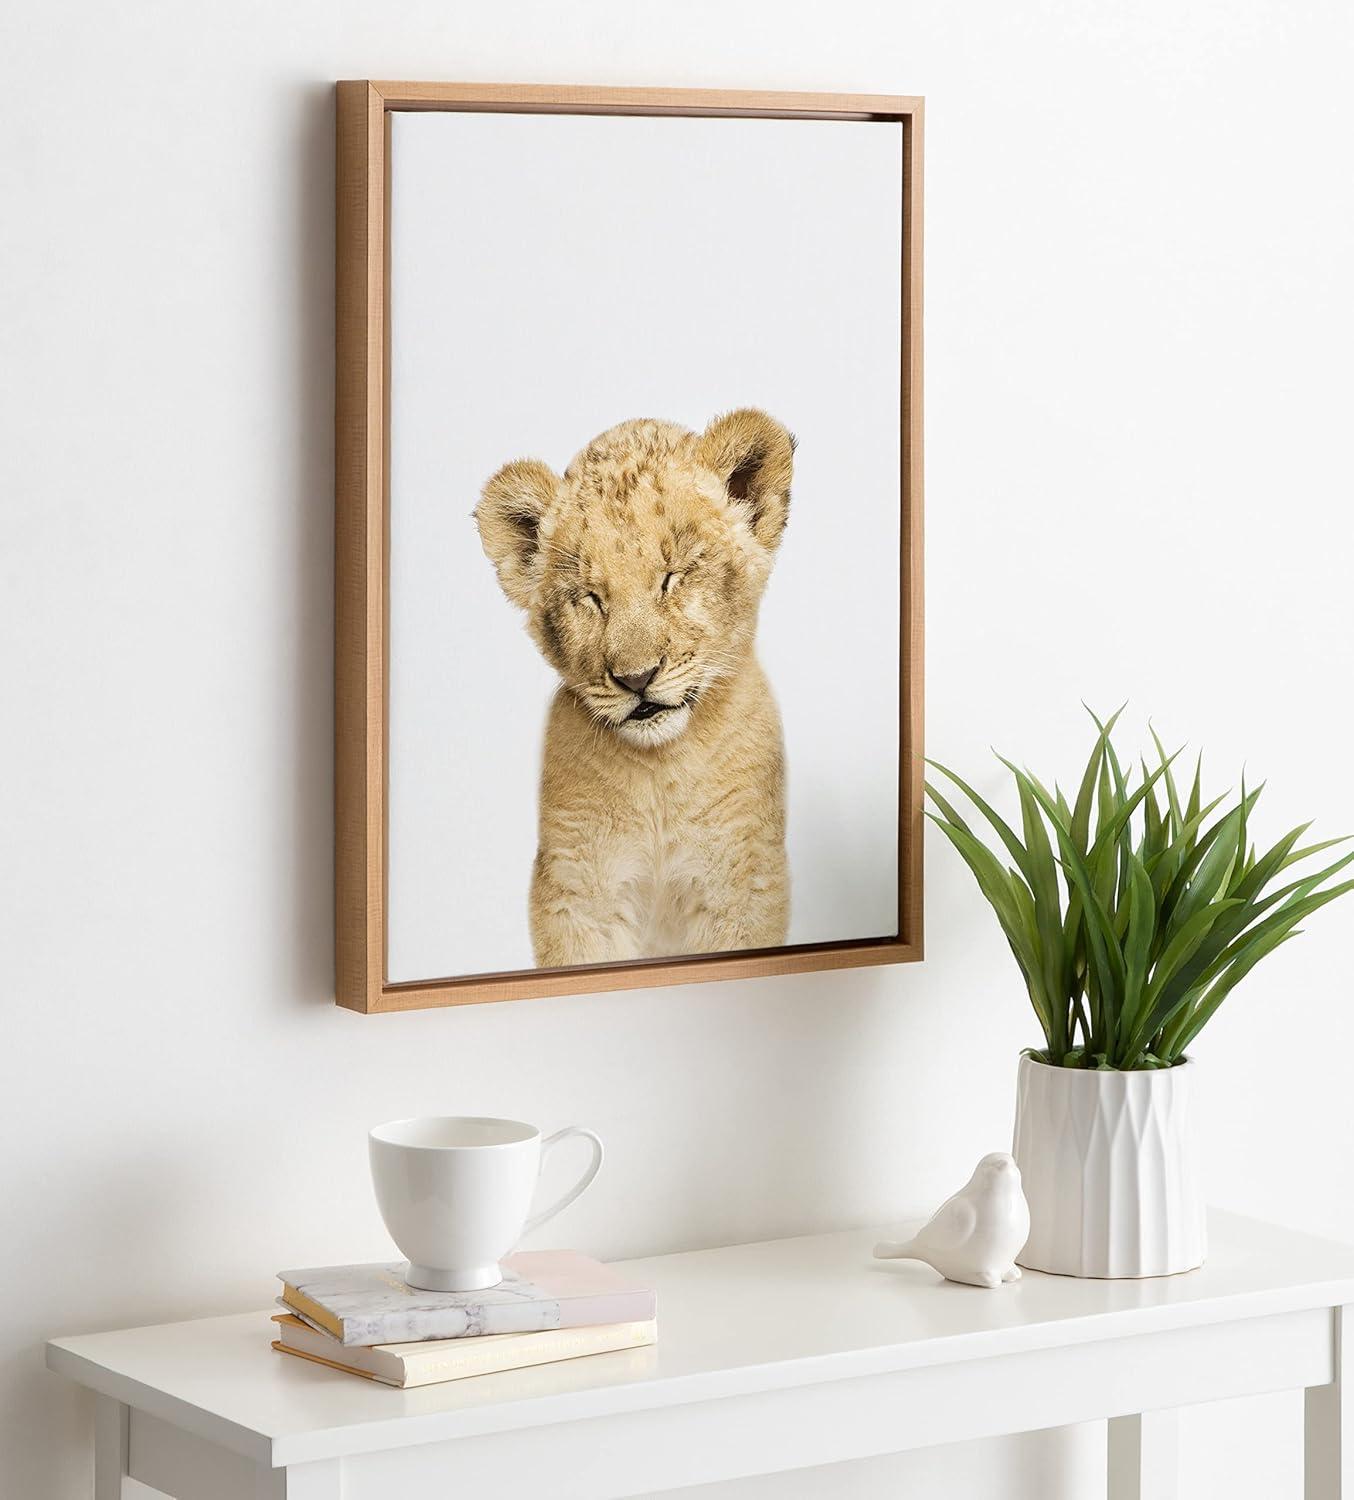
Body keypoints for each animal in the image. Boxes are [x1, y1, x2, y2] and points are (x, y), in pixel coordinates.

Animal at [474, 410, 793, 968]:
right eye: (590, 597)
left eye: (673, 577)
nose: (636, 678)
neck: (659, 770)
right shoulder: (577, 889)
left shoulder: (743, 880)